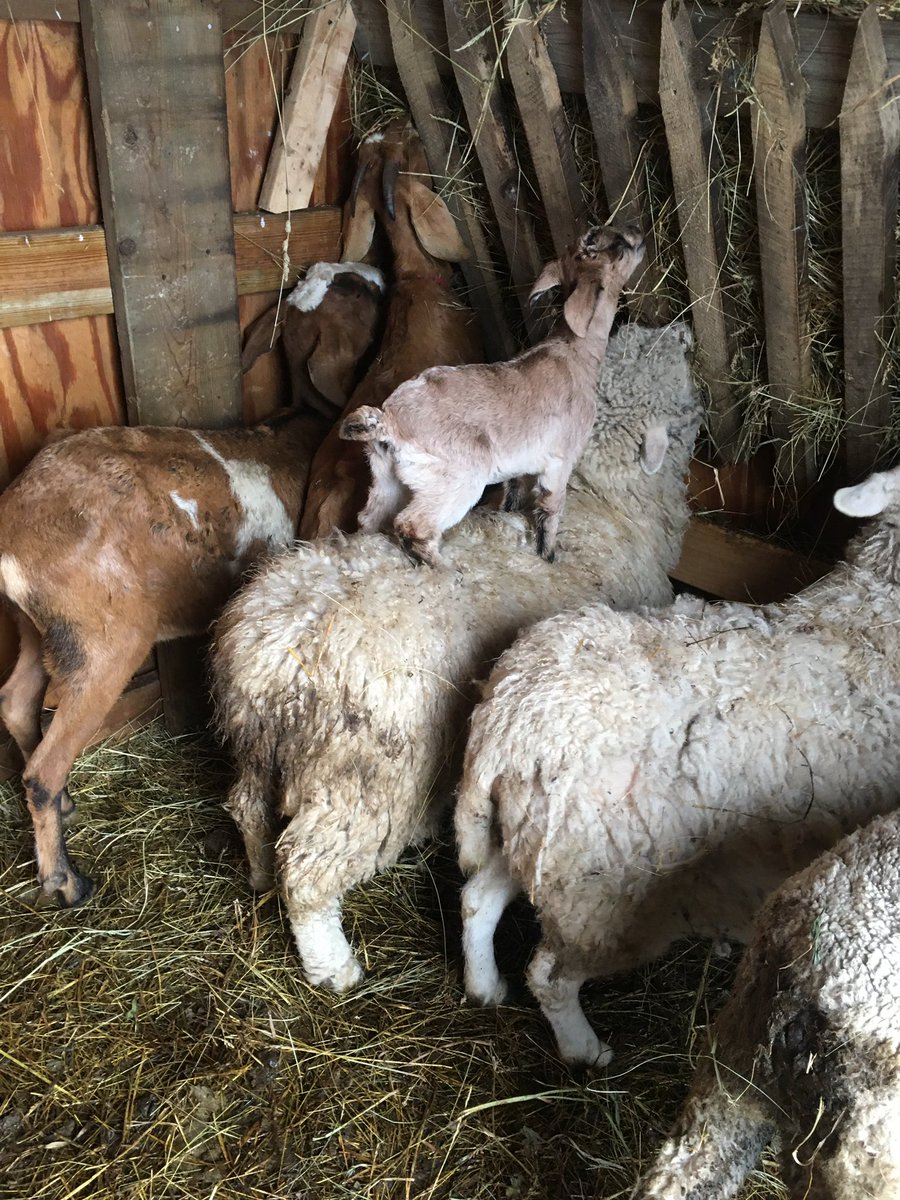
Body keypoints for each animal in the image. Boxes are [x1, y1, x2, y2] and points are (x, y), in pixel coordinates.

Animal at [340, 224, 646, 566]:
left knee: (371, 519)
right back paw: (442, 568)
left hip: (387, 479)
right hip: (458, 477)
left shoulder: (520, 463)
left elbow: (513, 494)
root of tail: (388, 421)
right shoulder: (560, 459)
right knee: (413, 524)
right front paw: (549, 555)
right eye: (618, 247)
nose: (638, 233)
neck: (575, 352)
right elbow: (551, 508)